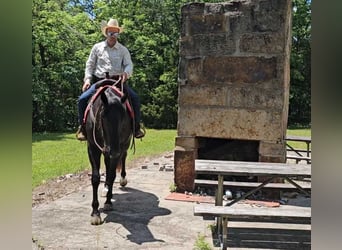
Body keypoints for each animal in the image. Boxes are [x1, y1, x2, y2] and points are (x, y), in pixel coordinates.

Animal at [85, 77, 133, 225]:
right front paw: (95, 212)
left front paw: (107, 202)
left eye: (123, 117)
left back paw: (121, 180)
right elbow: (95, 178)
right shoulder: (93, 148)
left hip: (123, 146)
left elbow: (111, 175)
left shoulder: (118, 149)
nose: (113, 150)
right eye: (103, 116)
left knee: (123, 158)